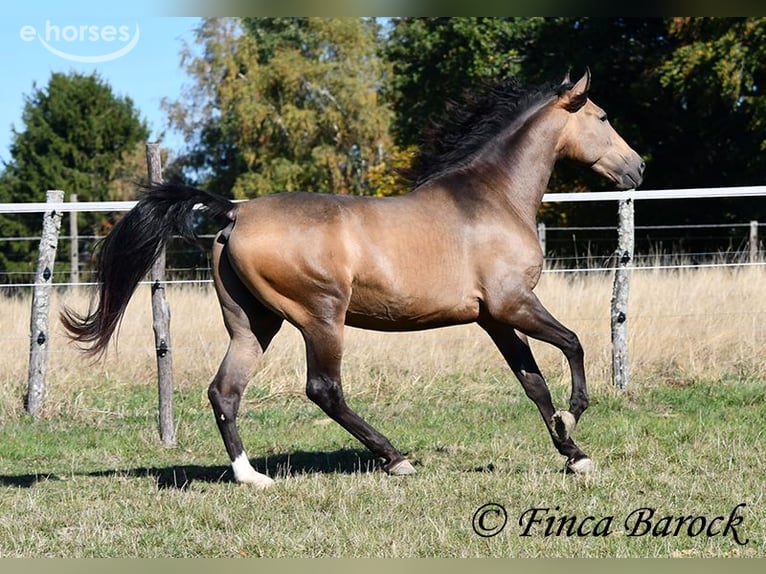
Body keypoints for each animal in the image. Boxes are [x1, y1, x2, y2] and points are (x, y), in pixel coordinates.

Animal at [62, 69, 644, 488]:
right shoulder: (512, 304)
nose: (637, 168)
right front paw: (574, 420)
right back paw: (395, 459)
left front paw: (573, 453)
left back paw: (253, 477)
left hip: (253, 324)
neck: (493, 197)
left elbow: (532, 382)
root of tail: (235, 211)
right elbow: (573, 345)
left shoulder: (494, 318)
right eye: (603, 116)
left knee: (224, 391)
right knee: (324, 389)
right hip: (322, 318)